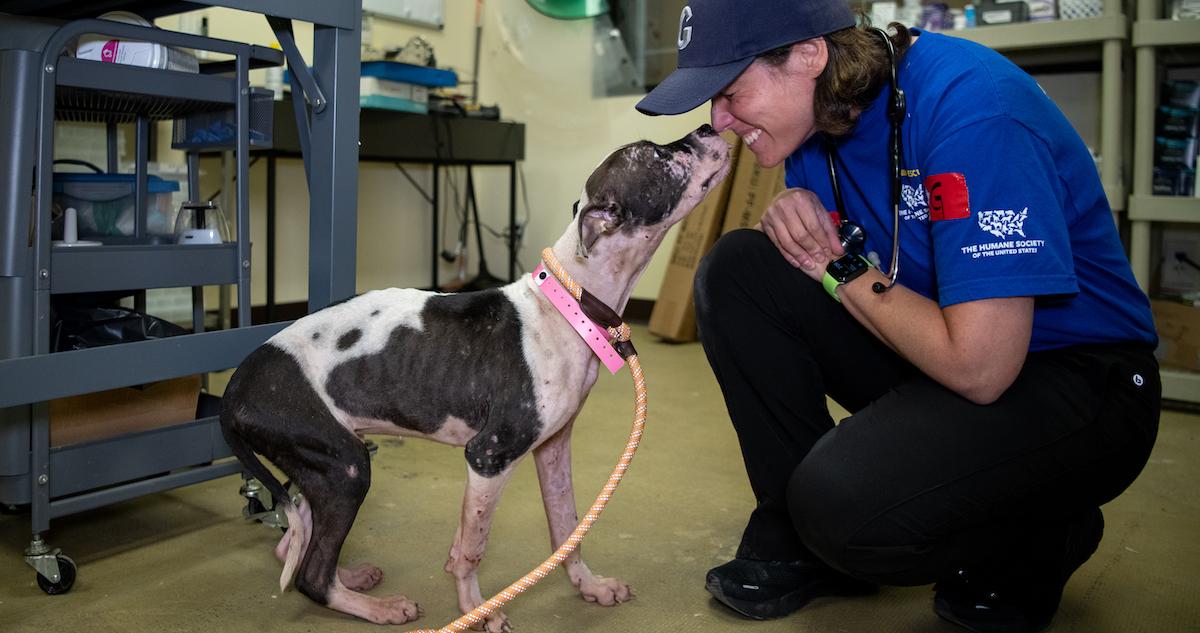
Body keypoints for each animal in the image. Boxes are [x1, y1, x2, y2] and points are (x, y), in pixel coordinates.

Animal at [222, 122, 734, 628]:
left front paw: (590, 586)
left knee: (294, 546)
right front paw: (475, 610)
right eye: (659, 155)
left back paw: (353, 579)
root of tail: (235, 389)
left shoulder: (553, 447)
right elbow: (470, 548)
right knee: (311, 573)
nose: (710, 126)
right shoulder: (488, 456)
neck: (567, 306)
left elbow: (567, 528)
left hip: (324, 465)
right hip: (346, 468)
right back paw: (381, 608)